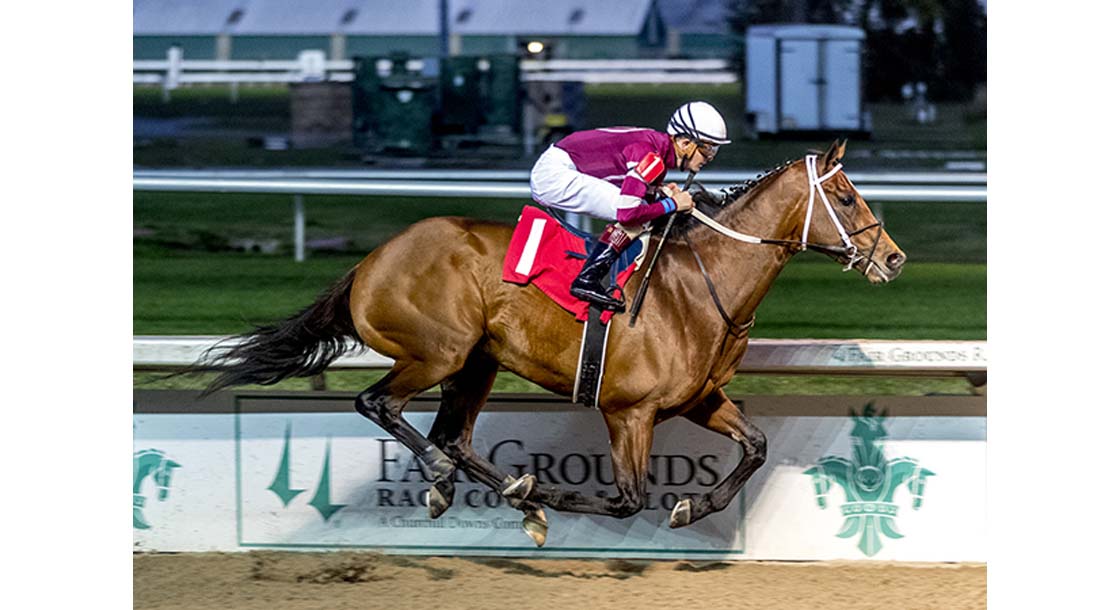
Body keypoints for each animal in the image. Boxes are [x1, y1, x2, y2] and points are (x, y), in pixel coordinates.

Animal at [192, 140, 904, 543]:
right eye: (845, 196)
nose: (893, 258)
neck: (701, 286)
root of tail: (370, 261)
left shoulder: (698, 398)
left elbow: (755, 447)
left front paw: (691, 506)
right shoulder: (629, 411)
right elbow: (626, 498)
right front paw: (557, 497)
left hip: (476, 363)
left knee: (454, 436)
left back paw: (501, 491)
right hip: (439, 352)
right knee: (380, 405)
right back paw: (460, 481)